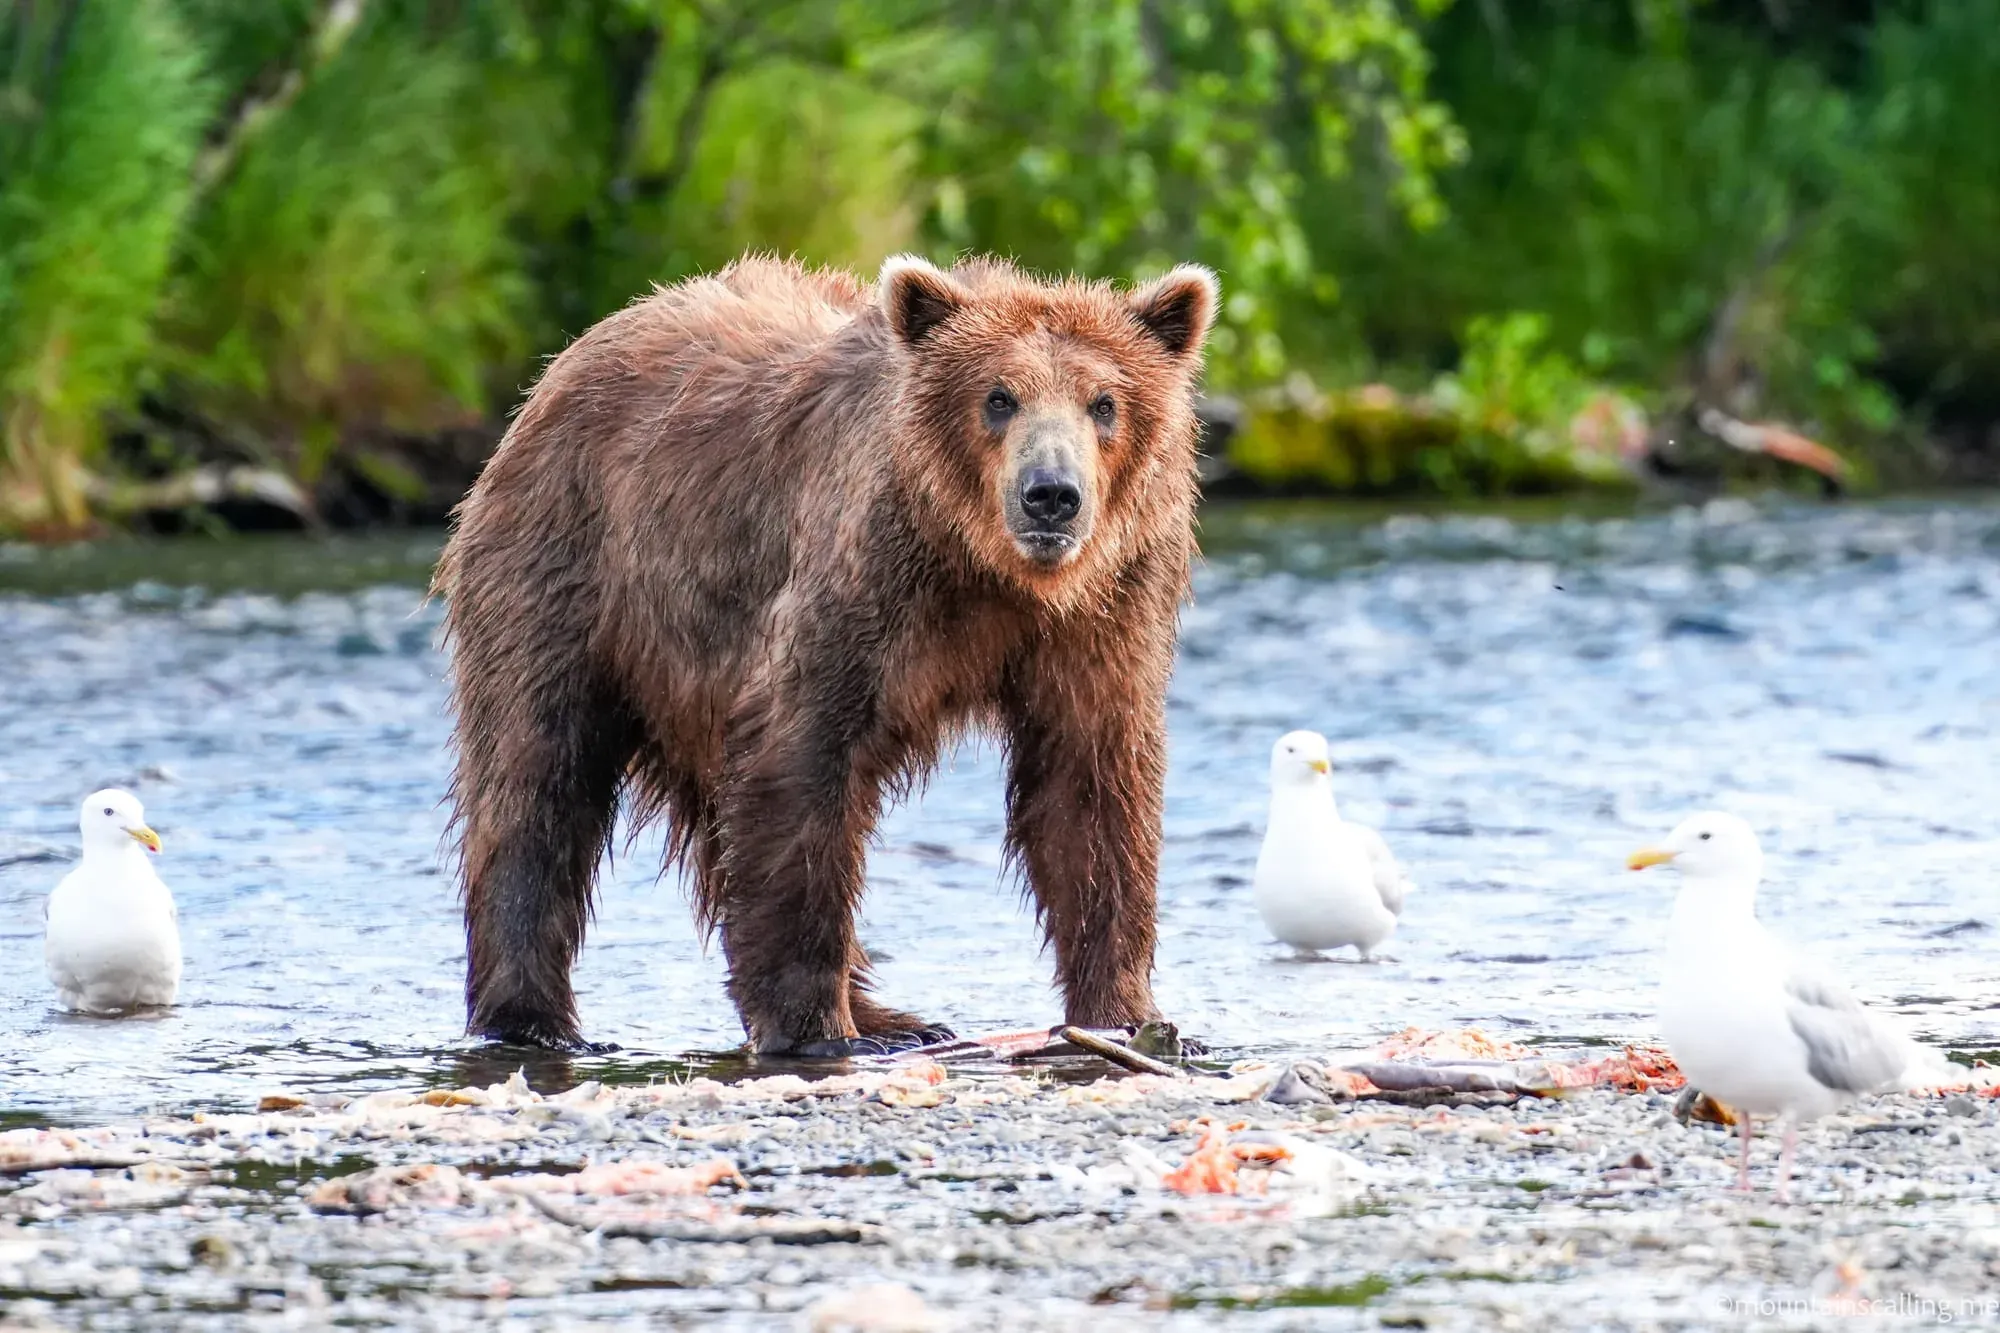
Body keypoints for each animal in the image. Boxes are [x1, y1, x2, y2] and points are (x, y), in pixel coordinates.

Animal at [434, 251, 1218, 1054]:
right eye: (999, 397)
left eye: (1104, 402)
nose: (1051, 494)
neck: (987, 572)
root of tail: (564, 363)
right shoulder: (863, 585)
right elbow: (803, 764)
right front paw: (818, 1026)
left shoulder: (1107, 609)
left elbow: (1090, 789)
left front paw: (1130, 1013)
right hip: (570, 565)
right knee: (535, 779)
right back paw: (531, 1018)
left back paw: (897, 1017)